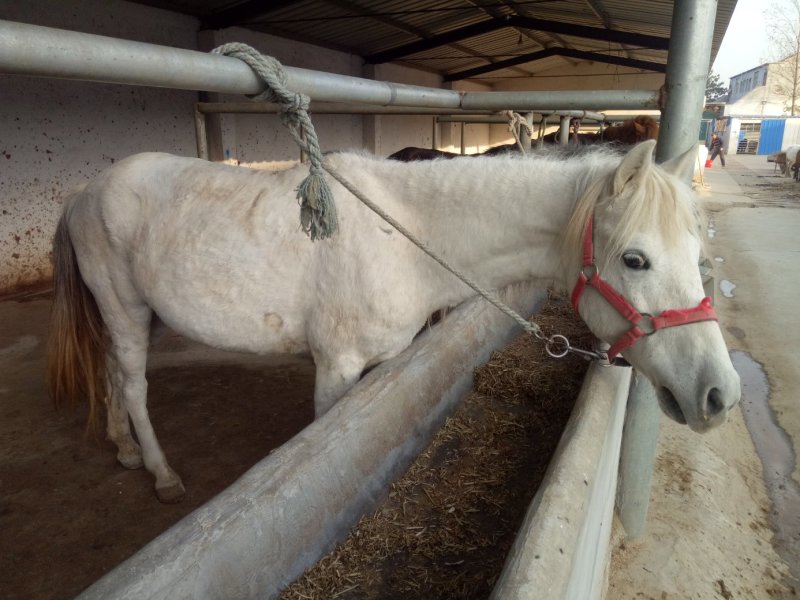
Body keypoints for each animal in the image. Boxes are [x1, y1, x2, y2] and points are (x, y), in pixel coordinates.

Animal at [47, 140, 740, 502]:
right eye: (635, 259)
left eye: (697, 256)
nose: (719, 395)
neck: (406, 236)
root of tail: (83, 193)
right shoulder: (335, 370)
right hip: (125, 306)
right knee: (133, 382)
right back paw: (160, 473)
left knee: (111, 374)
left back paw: (123, 448)